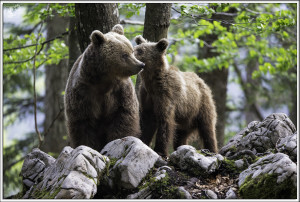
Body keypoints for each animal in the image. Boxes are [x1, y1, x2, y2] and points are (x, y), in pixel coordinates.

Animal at [64, 24, 145, 152]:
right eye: (124, 55)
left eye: (132, 51)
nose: (141, 65)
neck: (104, 81)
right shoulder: (83, 93)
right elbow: (83, 124)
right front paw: (88, 145)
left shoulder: (120, 92)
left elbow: (123, 116)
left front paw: (118, 139)